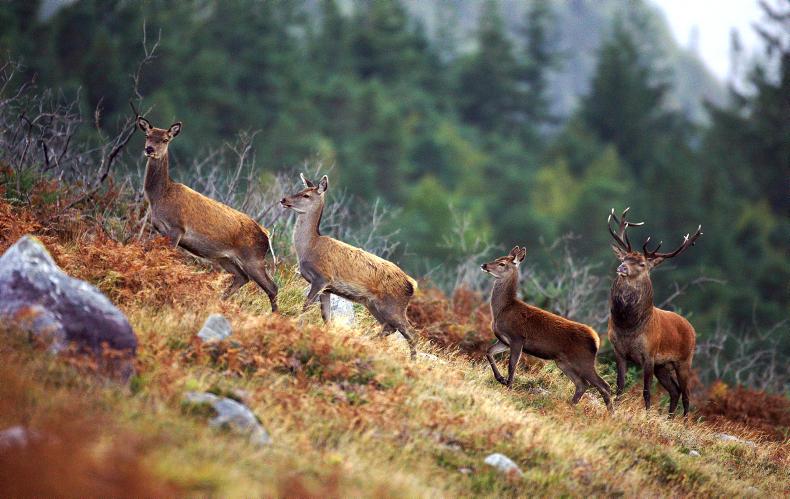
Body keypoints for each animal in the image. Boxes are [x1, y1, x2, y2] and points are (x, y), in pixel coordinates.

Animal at [135, 115, 278, 311]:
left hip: (253, 257)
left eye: (165, 139)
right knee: (242, 278)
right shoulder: (160, 229)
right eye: (147, 135)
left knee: (272, 287)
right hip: (225, 258)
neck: (159, 197)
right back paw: (217, 302)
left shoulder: (177, 228)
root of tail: (266, 234)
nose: (149, 149)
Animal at [280, 174, 419, 358]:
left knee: (411, 333)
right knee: (390, 328)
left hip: (393, 306)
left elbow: (306, 306)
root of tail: (411, 284)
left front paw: (296, 324)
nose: (284, 199)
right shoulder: (328, 288)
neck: (309, 247)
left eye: (306, 195)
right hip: (373, 304)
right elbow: (326, 316)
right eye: (300, 189)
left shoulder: (322, 277)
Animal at [481, 246, 613, 411]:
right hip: (563, 362)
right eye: (497, 258)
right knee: (582, 384)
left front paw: (508, 386)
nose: (484, 265)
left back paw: (611, 414)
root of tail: (596, 339)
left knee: (604, 386)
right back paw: (570, 406)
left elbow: (512, 365)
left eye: (502, 263)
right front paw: (500, 379)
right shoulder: (504, 341)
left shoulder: (517, 338)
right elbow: (489, 351)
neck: (503, 309)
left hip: (583, 360)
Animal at [607, 208, 701, 416]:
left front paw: (646, 414)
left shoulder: (649, 354)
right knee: (675, 391)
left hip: (685, 360)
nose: (621, 267)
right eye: (624, 258)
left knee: (686, 394)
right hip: (663, 366)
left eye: (642, 264)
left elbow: (646, 390)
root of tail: (692, 328)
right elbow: (620, 384)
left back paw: (682, 421)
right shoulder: (619, 350)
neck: (629, 326)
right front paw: (614, 409)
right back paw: (670, 418)